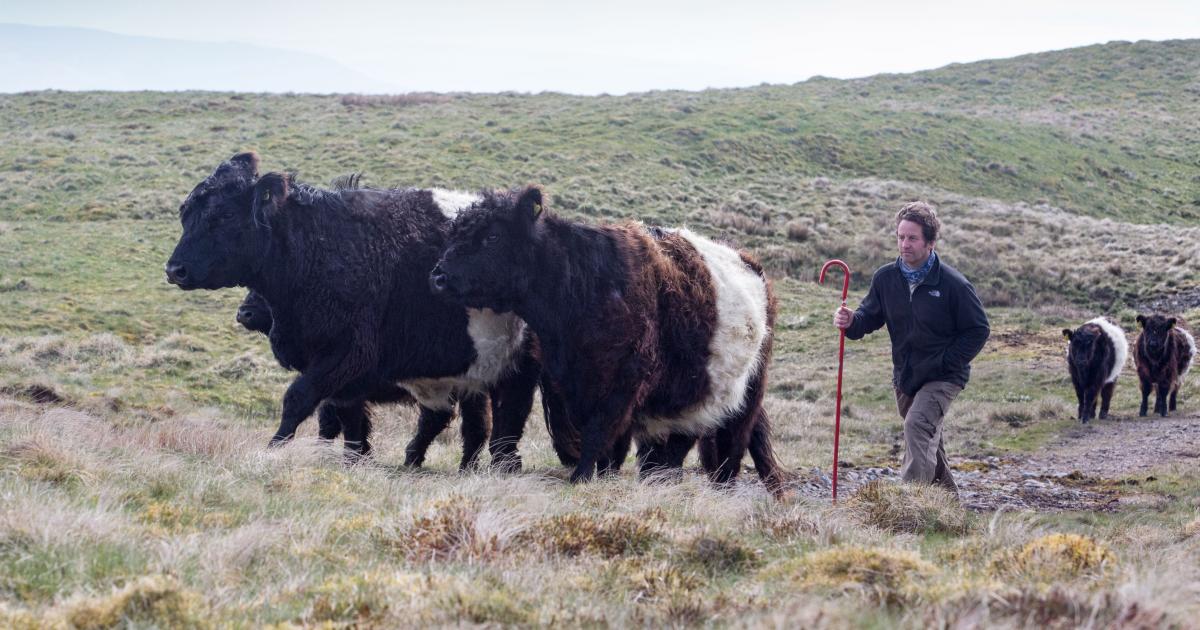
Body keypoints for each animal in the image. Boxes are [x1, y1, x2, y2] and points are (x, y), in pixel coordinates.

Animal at [165, 153, 539, 470]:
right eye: (186, 214)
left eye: (225, 215)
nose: (174, 269)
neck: (320, 246)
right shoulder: (344, 375)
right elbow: (347, 420)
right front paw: (354, 459)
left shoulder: (347, 354)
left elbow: (299, 401)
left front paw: (274, 449)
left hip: (517, 362)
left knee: (506, 416)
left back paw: (500, 465)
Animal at [429, 186, 786, 496]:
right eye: (454, 235)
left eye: (492, 236)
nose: (438, 276)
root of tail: (750, 263)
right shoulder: (573, 386)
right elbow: (607, 448)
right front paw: (602, 478)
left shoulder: (622, 384)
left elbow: (599, 437)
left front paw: (581, 479)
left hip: (745, 393)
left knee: (732, 447)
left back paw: (724, 489)